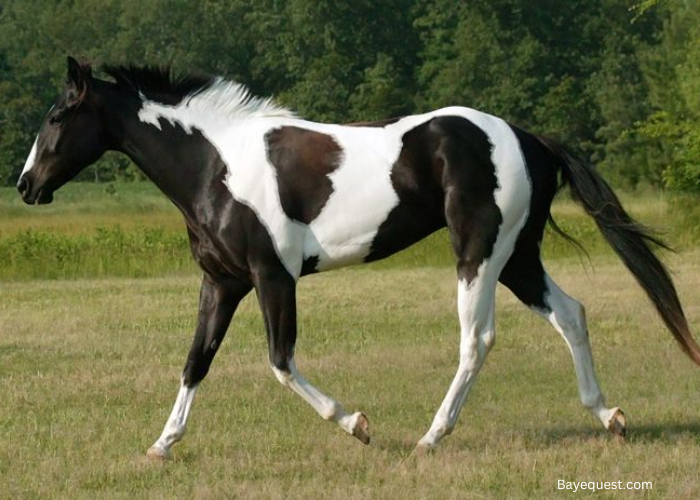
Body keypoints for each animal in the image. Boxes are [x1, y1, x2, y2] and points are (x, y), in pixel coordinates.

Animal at [17, 56, 700, 458]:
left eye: (57, 116)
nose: (26, 186)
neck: (217, 165)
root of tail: (526, 137)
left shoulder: (272, 277)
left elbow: (280, 361)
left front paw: (357, 424)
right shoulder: (223, 283)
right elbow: (194, 362)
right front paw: (162, 444)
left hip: (479, 252)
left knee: (476, 339)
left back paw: (431, 436)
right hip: (518, 258)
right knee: (572, 315)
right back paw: (609, 416)